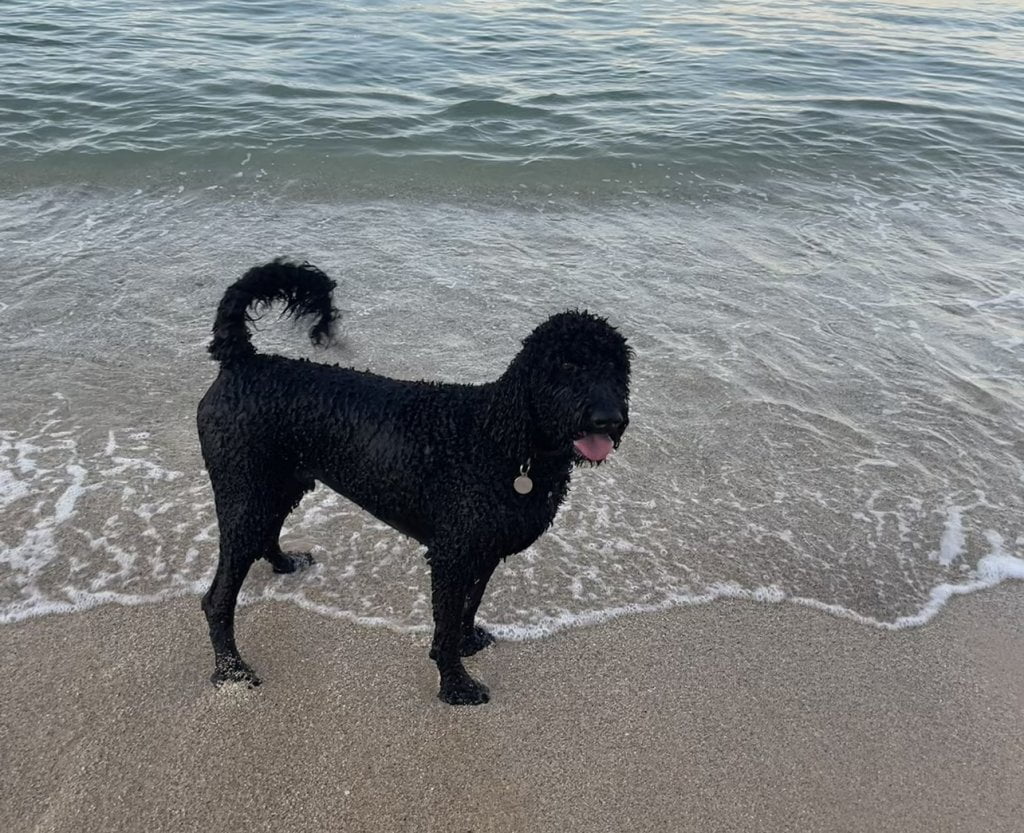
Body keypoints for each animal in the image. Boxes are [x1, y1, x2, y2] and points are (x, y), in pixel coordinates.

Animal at [195, 260, 626, 700]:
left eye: (616, 366)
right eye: (568, 366)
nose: (608, 420)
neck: (506, 441)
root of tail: (241, 361)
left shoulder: (484, 552)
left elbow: (468, 607)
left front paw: (466, 644)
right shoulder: (453, 556)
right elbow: (448, 621)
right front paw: (455, 685)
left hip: (278, 486)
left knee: (267, 533)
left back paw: (285, 564)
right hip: (244, 493)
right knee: (217, 600)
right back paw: (231, 669)